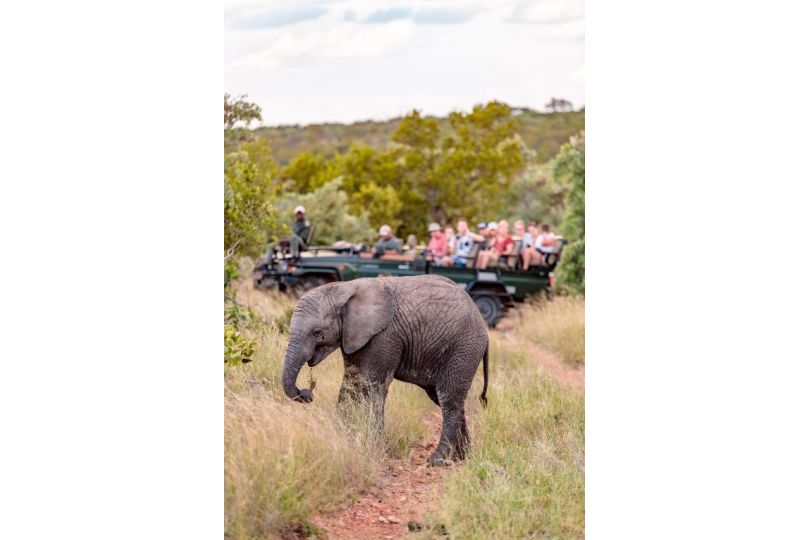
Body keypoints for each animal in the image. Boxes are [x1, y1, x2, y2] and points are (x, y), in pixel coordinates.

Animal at [280, 274, 490, 464]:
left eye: (317, 332)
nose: (306, 393)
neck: (344, 288)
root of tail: (483, 324)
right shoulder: (354, 335)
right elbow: (350, 383)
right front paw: (341, 438)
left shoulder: (383, 336)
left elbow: (373, 386)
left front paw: (374, 446)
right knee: (446, 399)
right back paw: (461, 457)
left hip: (463, 349)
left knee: (449, 399)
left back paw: (437, 460)